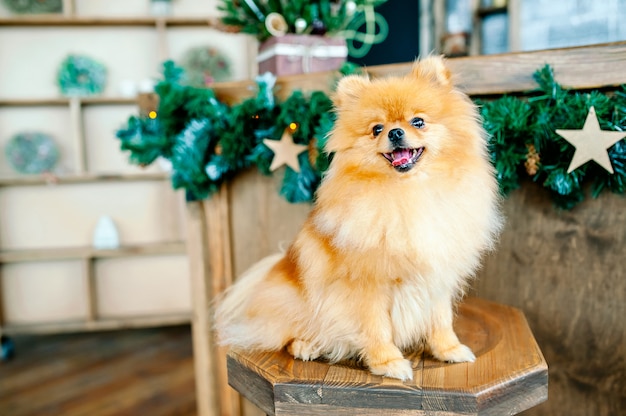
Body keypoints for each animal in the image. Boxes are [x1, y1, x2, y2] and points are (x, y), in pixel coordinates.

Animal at [216, 55, 502, 380]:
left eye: (418, 121)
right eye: (377, 128)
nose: (395, 132)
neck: (408, 193)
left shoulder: (436, 275)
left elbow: (440, 320)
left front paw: (449, 350)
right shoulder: (366, 285)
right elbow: (376, 328)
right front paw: (388, 363)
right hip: (295, 300)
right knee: (283, 334)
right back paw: (306, 345)